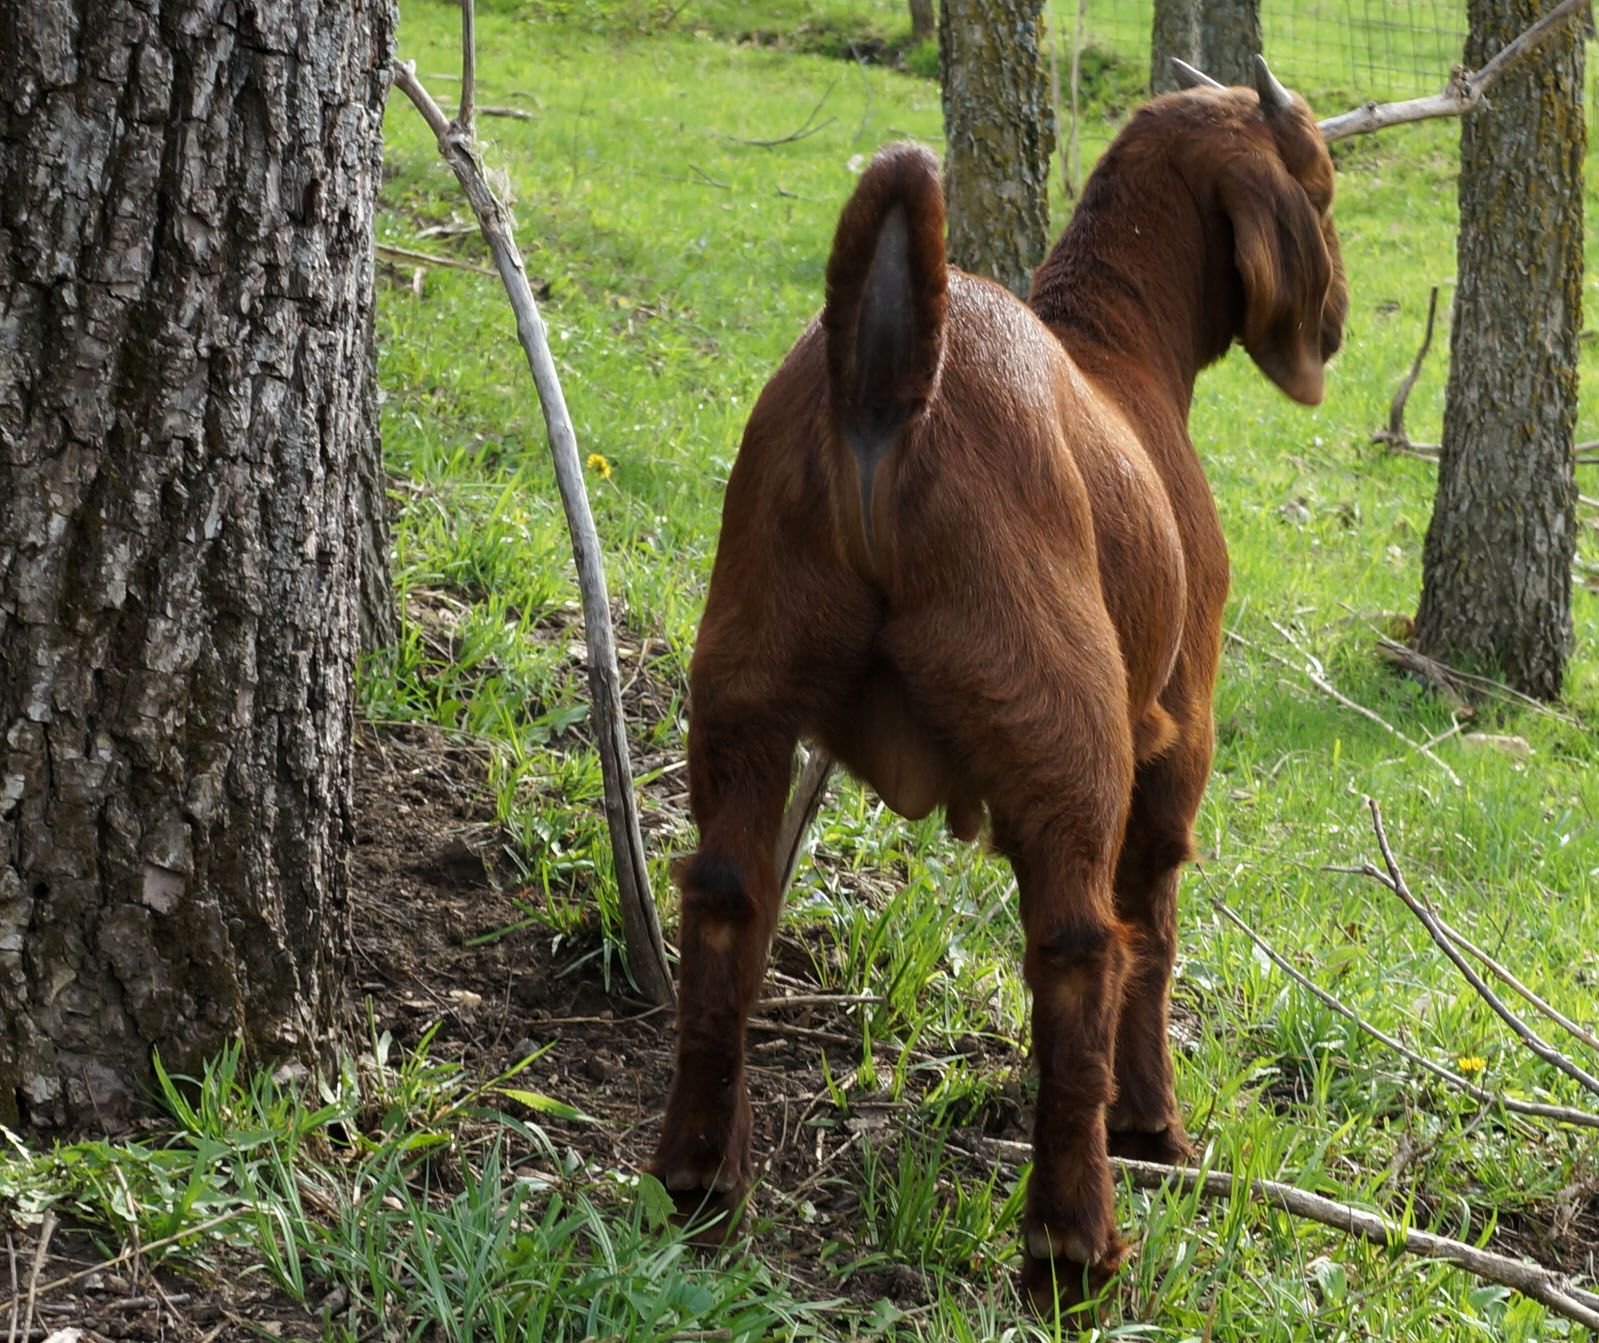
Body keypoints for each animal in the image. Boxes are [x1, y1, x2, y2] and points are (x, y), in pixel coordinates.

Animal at [651, 57, 1347, 1308]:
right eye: (1318, 180)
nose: (1341, 322)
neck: (1120, 350)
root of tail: (892, 380)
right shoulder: (1180, 728)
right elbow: (1156, 920)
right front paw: (1155, 1128)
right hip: (1065, 720)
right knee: (1079, 943)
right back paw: (1075, 1242)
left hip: (745, 671)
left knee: (729, 892)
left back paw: (702, 1178)